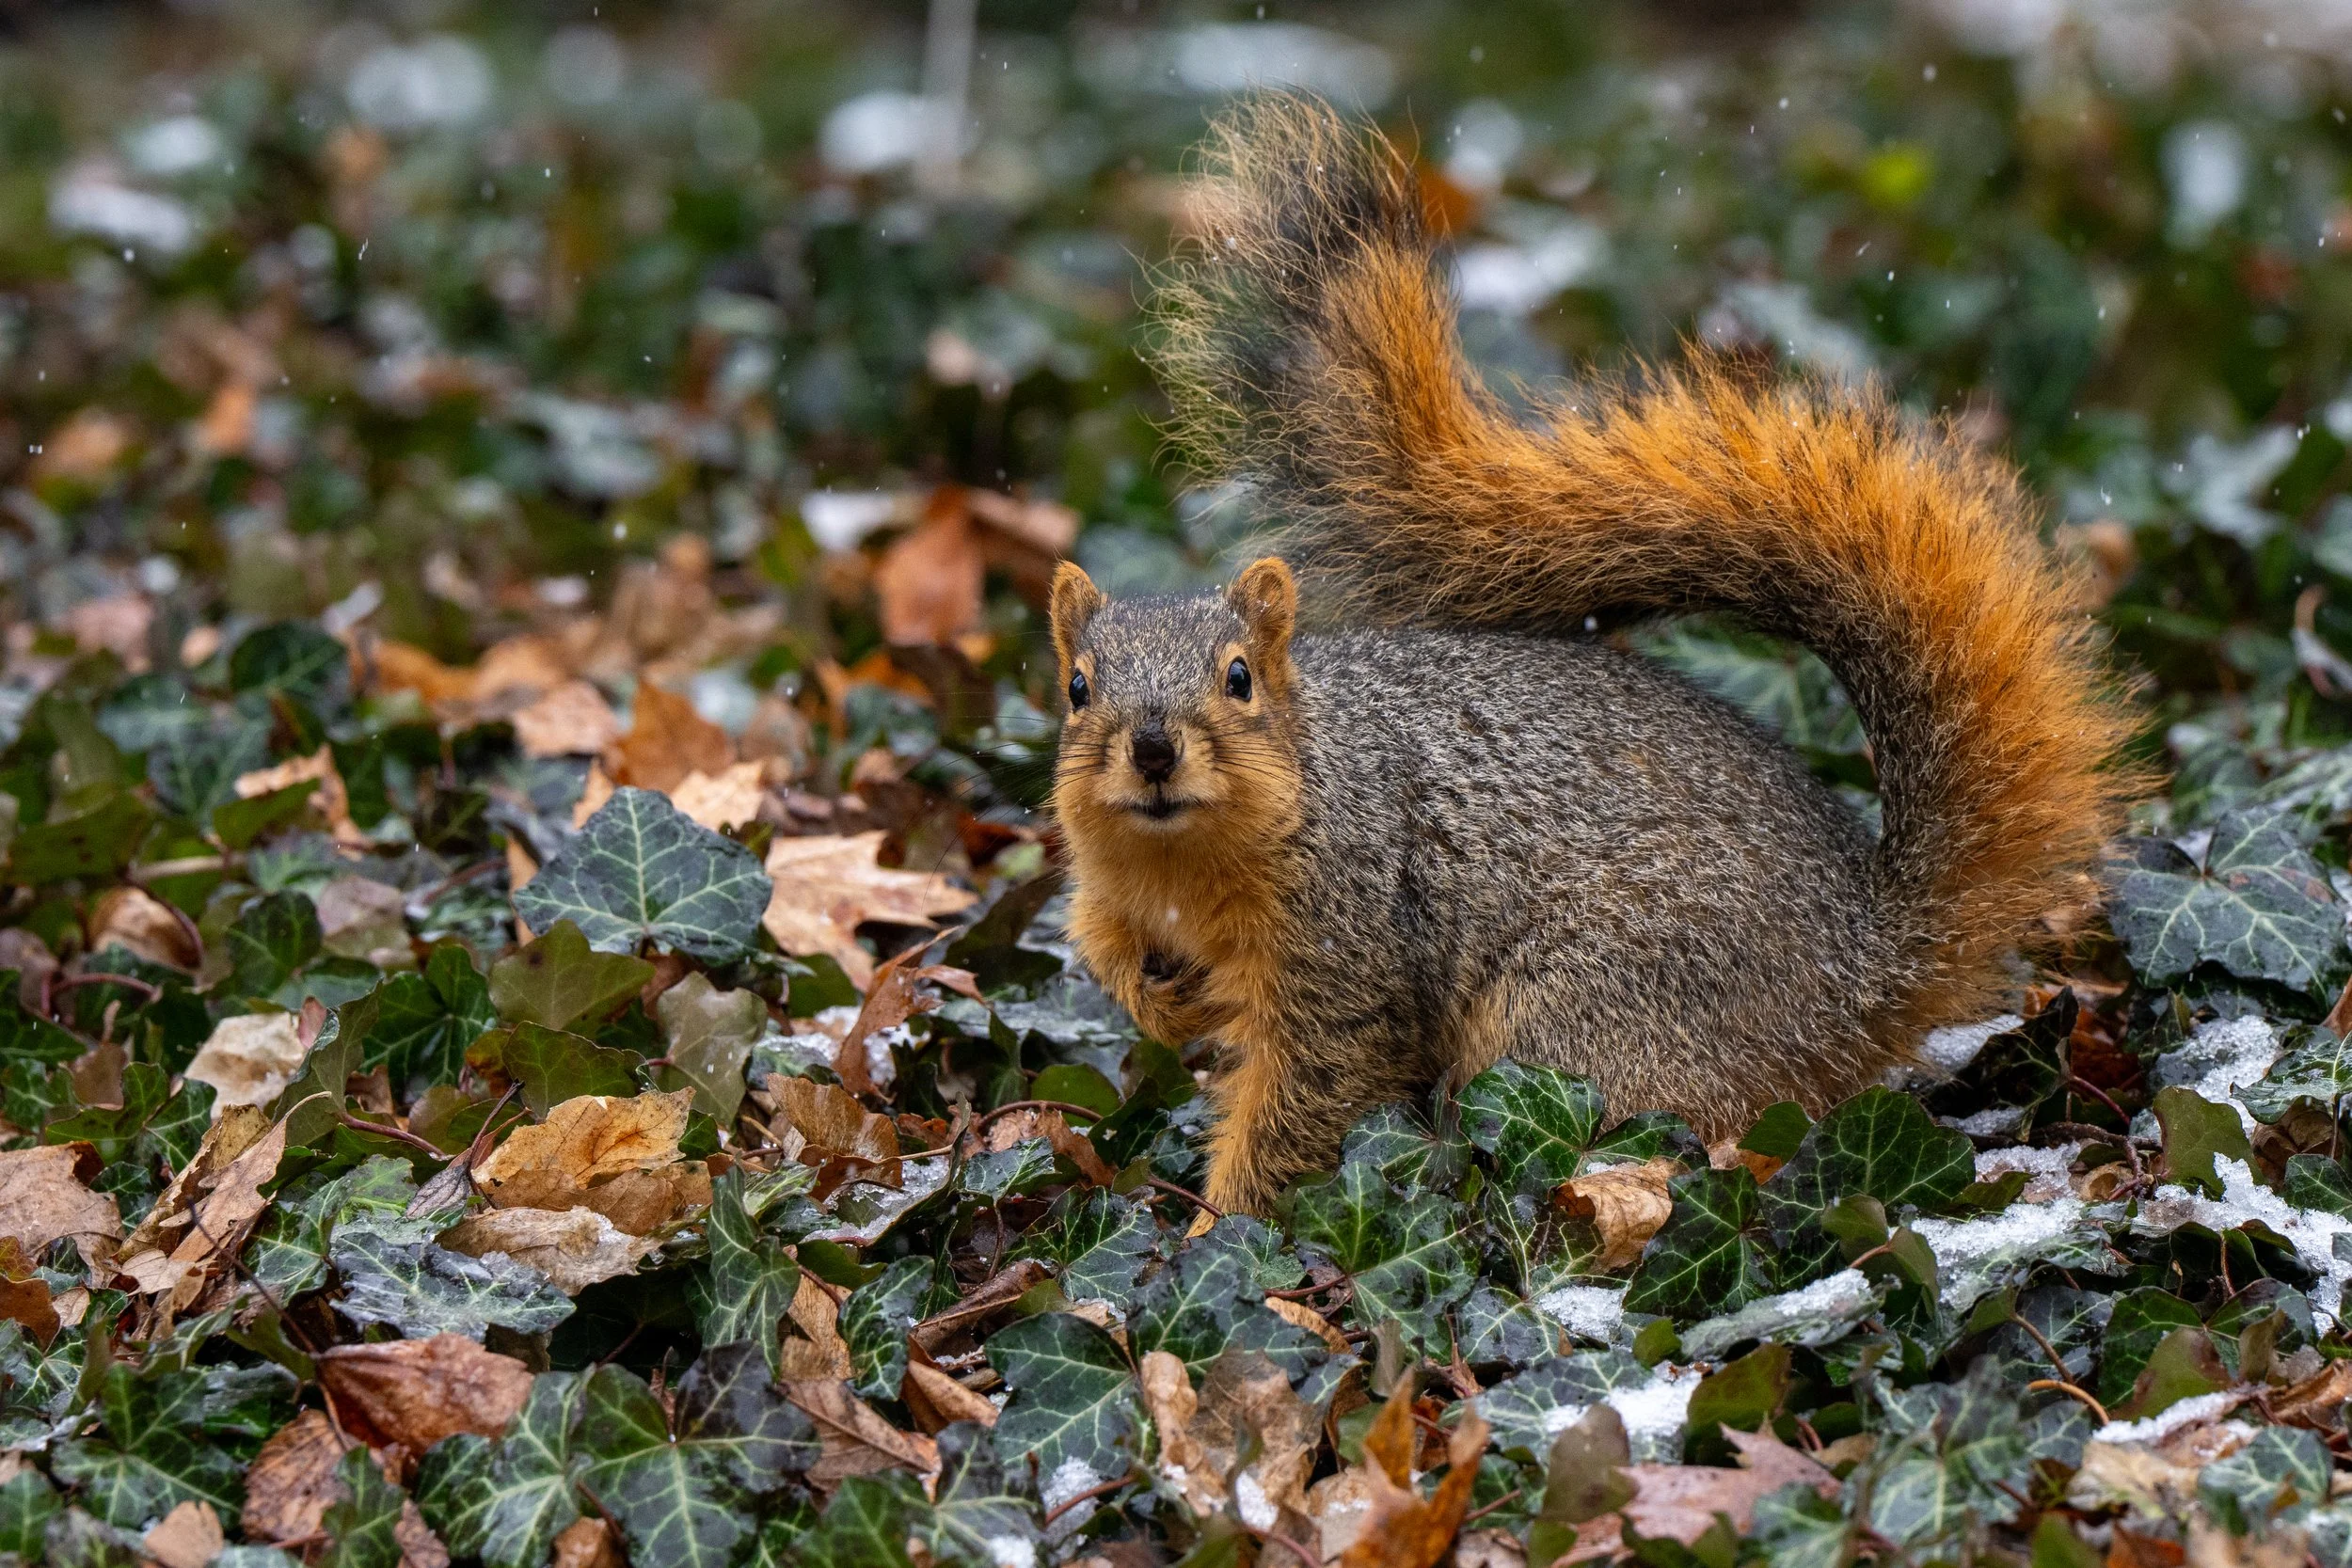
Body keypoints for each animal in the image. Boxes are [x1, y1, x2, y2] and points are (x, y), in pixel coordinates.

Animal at [1046, 94, 2135, 1216]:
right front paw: (1161, 1006)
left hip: (1590, 1012)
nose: (1154, 749)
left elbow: (1308, 1097)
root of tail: (1862, 965)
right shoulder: (1112, 892)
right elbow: (1113, 958)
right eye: (1077, 687)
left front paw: (1221, 1223)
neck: (1185, 860)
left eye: (1239, 678)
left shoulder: (1347, 945)